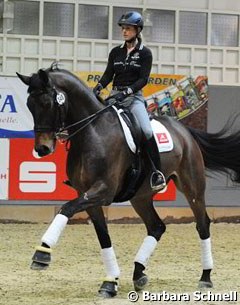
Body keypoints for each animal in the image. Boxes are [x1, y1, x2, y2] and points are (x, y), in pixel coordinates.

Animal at [16, 63, 240, 296]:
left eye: (47, 102)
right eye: (29, 105)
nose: (42, 149)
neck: (92, 132)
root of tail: (185, 131)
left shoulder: (103, 191)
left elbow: (66, 207)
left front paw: (42, 252)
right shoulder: (87, 195)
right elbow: (103, 236)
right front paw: (110, 282)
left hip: (192, 187)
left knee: (202, 224)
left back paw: (205, 277)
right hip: (140, 197)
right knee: (156, 227)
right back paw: (139, 274)